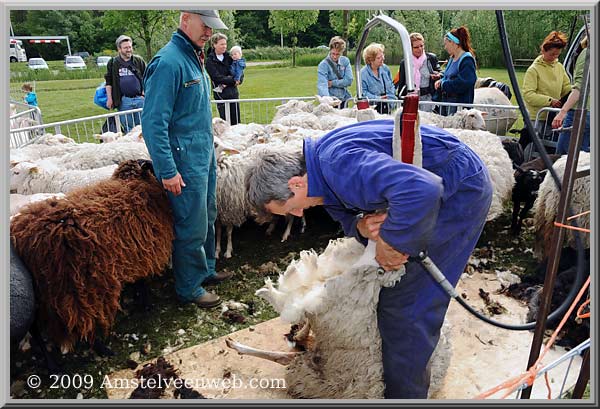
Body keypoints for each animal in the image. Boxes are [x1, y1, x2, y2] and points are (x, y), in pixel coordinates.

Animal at [9, 159, 173, 350]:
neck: (134, 182)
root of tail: (25, 238)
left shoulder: (136, 253)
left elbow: (139, 282)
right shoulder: (145, 251)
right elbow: (143, 283)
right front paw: (146, 305)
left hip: (45, 292)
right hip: (80, 286)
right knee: (86, 322)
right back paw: (102, 348)